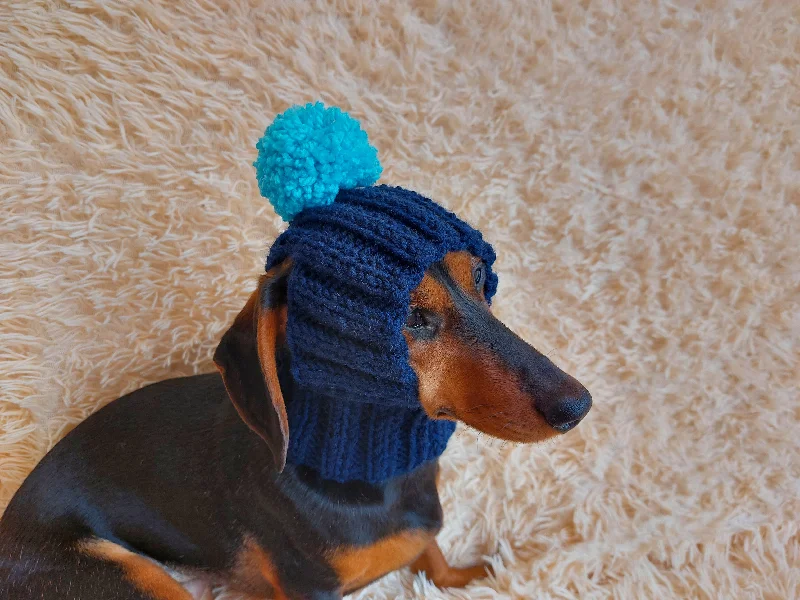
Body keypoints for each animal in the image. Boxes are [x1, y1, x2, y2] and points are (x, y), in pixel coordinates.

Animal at [0, 251, 588, 596]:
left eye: (481, 278)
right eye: (406, 317)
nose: (578, 404)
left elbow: (434, 557)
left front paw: (476, 573)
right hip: (136, 577)